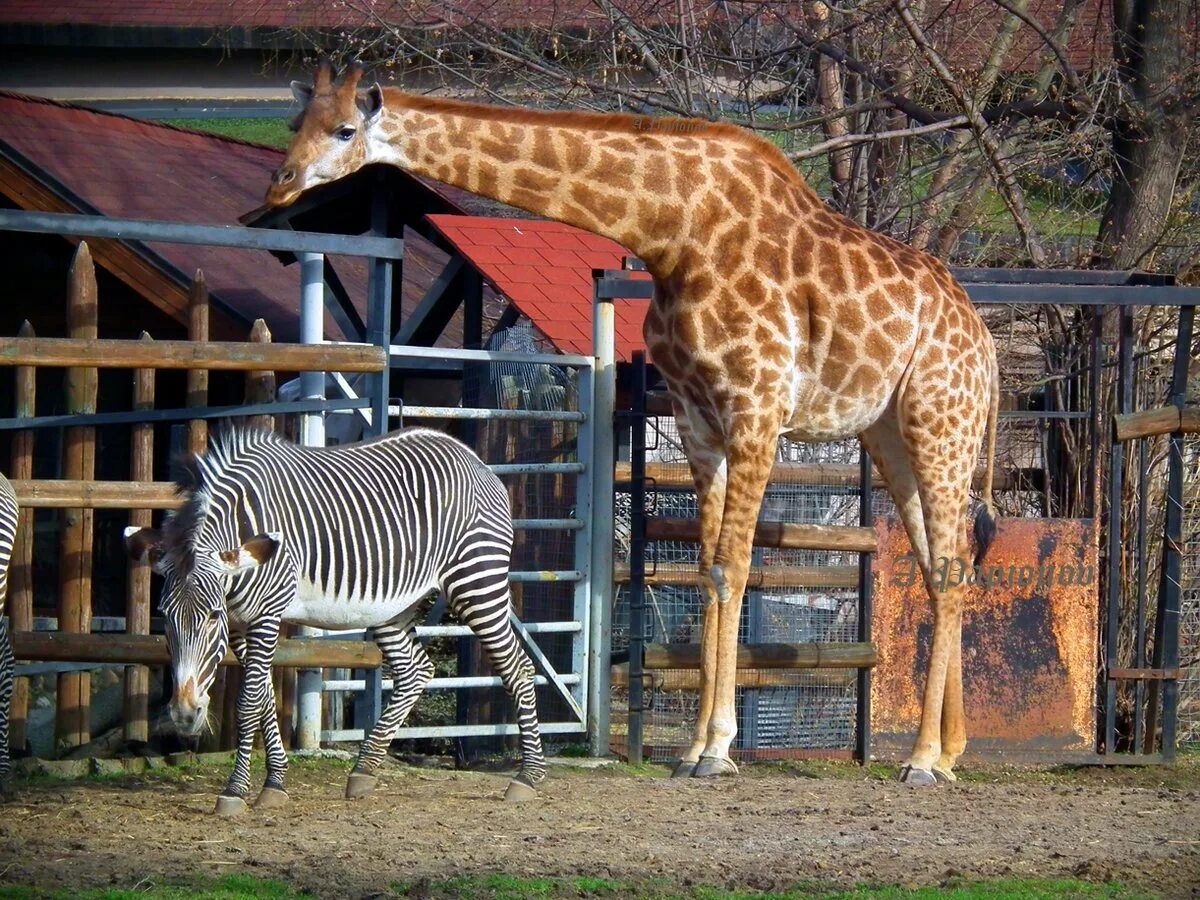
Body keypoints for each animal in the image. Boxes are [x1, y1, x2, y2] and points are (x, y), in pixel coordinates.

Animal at [124, 427, 547, 816]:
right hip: (394, 607)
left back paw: (528, 776)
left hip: (477, 581)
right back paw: (364, 770)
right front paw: (275, 782)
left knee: (518, 668)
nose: (183, 714)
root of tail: (473, 458)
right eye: (164, 617)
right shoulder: (242, 625)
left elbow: (248, 702)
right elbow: (265, 699)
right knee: (415, 672)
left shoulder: (265, 613)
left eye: (213, 616)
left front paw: (235, 790)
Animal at [267, 60, 998, 787]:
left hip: (940, 421)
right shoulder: (699, 419)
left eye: (345, 129)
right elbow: (706, 571)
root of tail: (985, 344)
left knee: (952, 566)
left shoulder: (756, 407)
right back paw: (951, 751)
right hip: (891, 433)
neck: (673, 230)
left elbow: (735, 567)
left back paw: (923, 760)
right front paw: (696, 749)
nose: (282, 183)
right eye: (295, 121)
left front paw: (720, 750)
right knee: (945, 566)